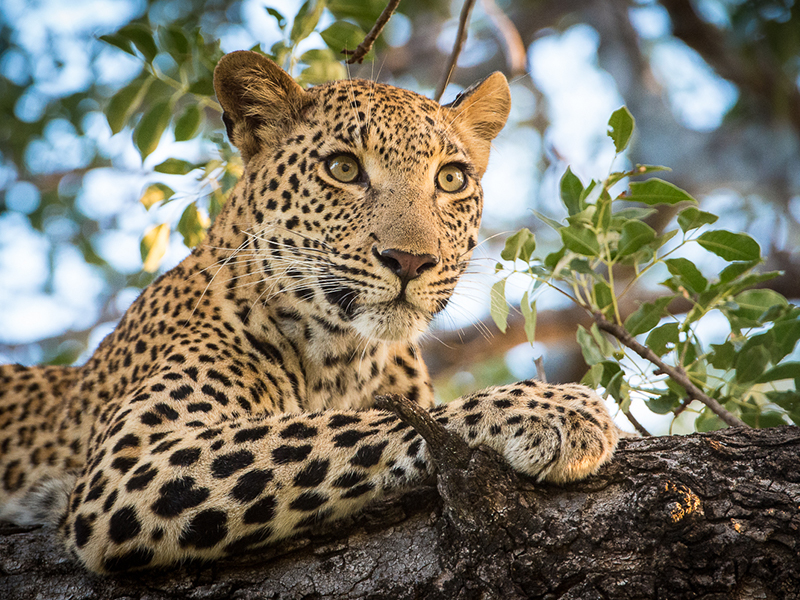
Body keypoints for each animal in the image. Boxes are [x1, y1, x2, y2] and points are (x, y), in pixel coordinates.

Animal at [0, 50, 620, 572]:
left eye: (451, 179)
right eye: (343, 169)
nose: (410, 260)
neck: (346, 357)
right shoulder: (133, 462)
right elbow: (339, 426)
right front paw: (553, 409)